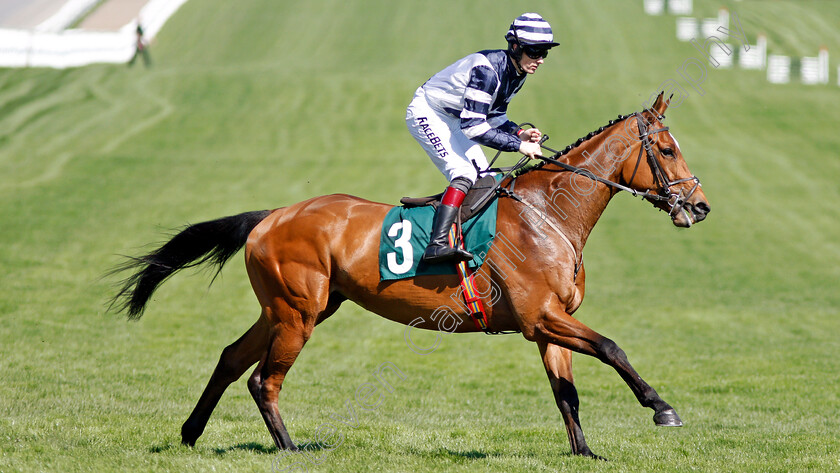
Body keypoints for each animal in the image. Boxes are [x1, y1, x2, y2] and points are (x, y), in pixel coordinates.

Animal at [111, 92, 708, 458]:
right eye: (667, 148)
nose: (699, 207)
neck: (548, 214)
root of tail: (271, 216)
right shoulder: (540, 316)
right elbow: (612, 347)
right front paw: (662, 408)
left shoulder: (547, 323)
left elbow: (567, 393)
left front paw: (584, 450)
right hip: (297, 312)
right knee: (264, 379)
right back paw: (289, 447)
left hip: (293, 309)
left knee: (232, 359)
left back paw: (191, 433)